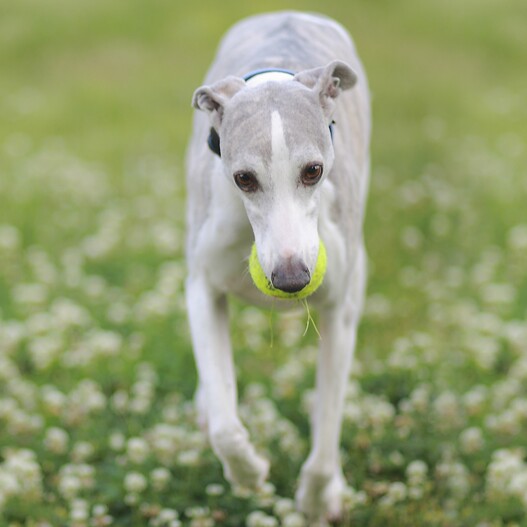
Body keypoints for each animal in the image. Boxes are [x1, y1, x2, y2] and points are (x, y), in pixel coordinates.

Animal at [186, 10, 372, 520]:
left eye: (313, 170)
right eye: (243, 179)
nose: (291, 281)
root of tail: (287, 13)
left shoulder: (339, 311)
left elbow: (327, 425)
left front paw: (316, 498)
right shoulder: (201, 288)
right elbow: (227, 427)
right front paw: (249, 473)